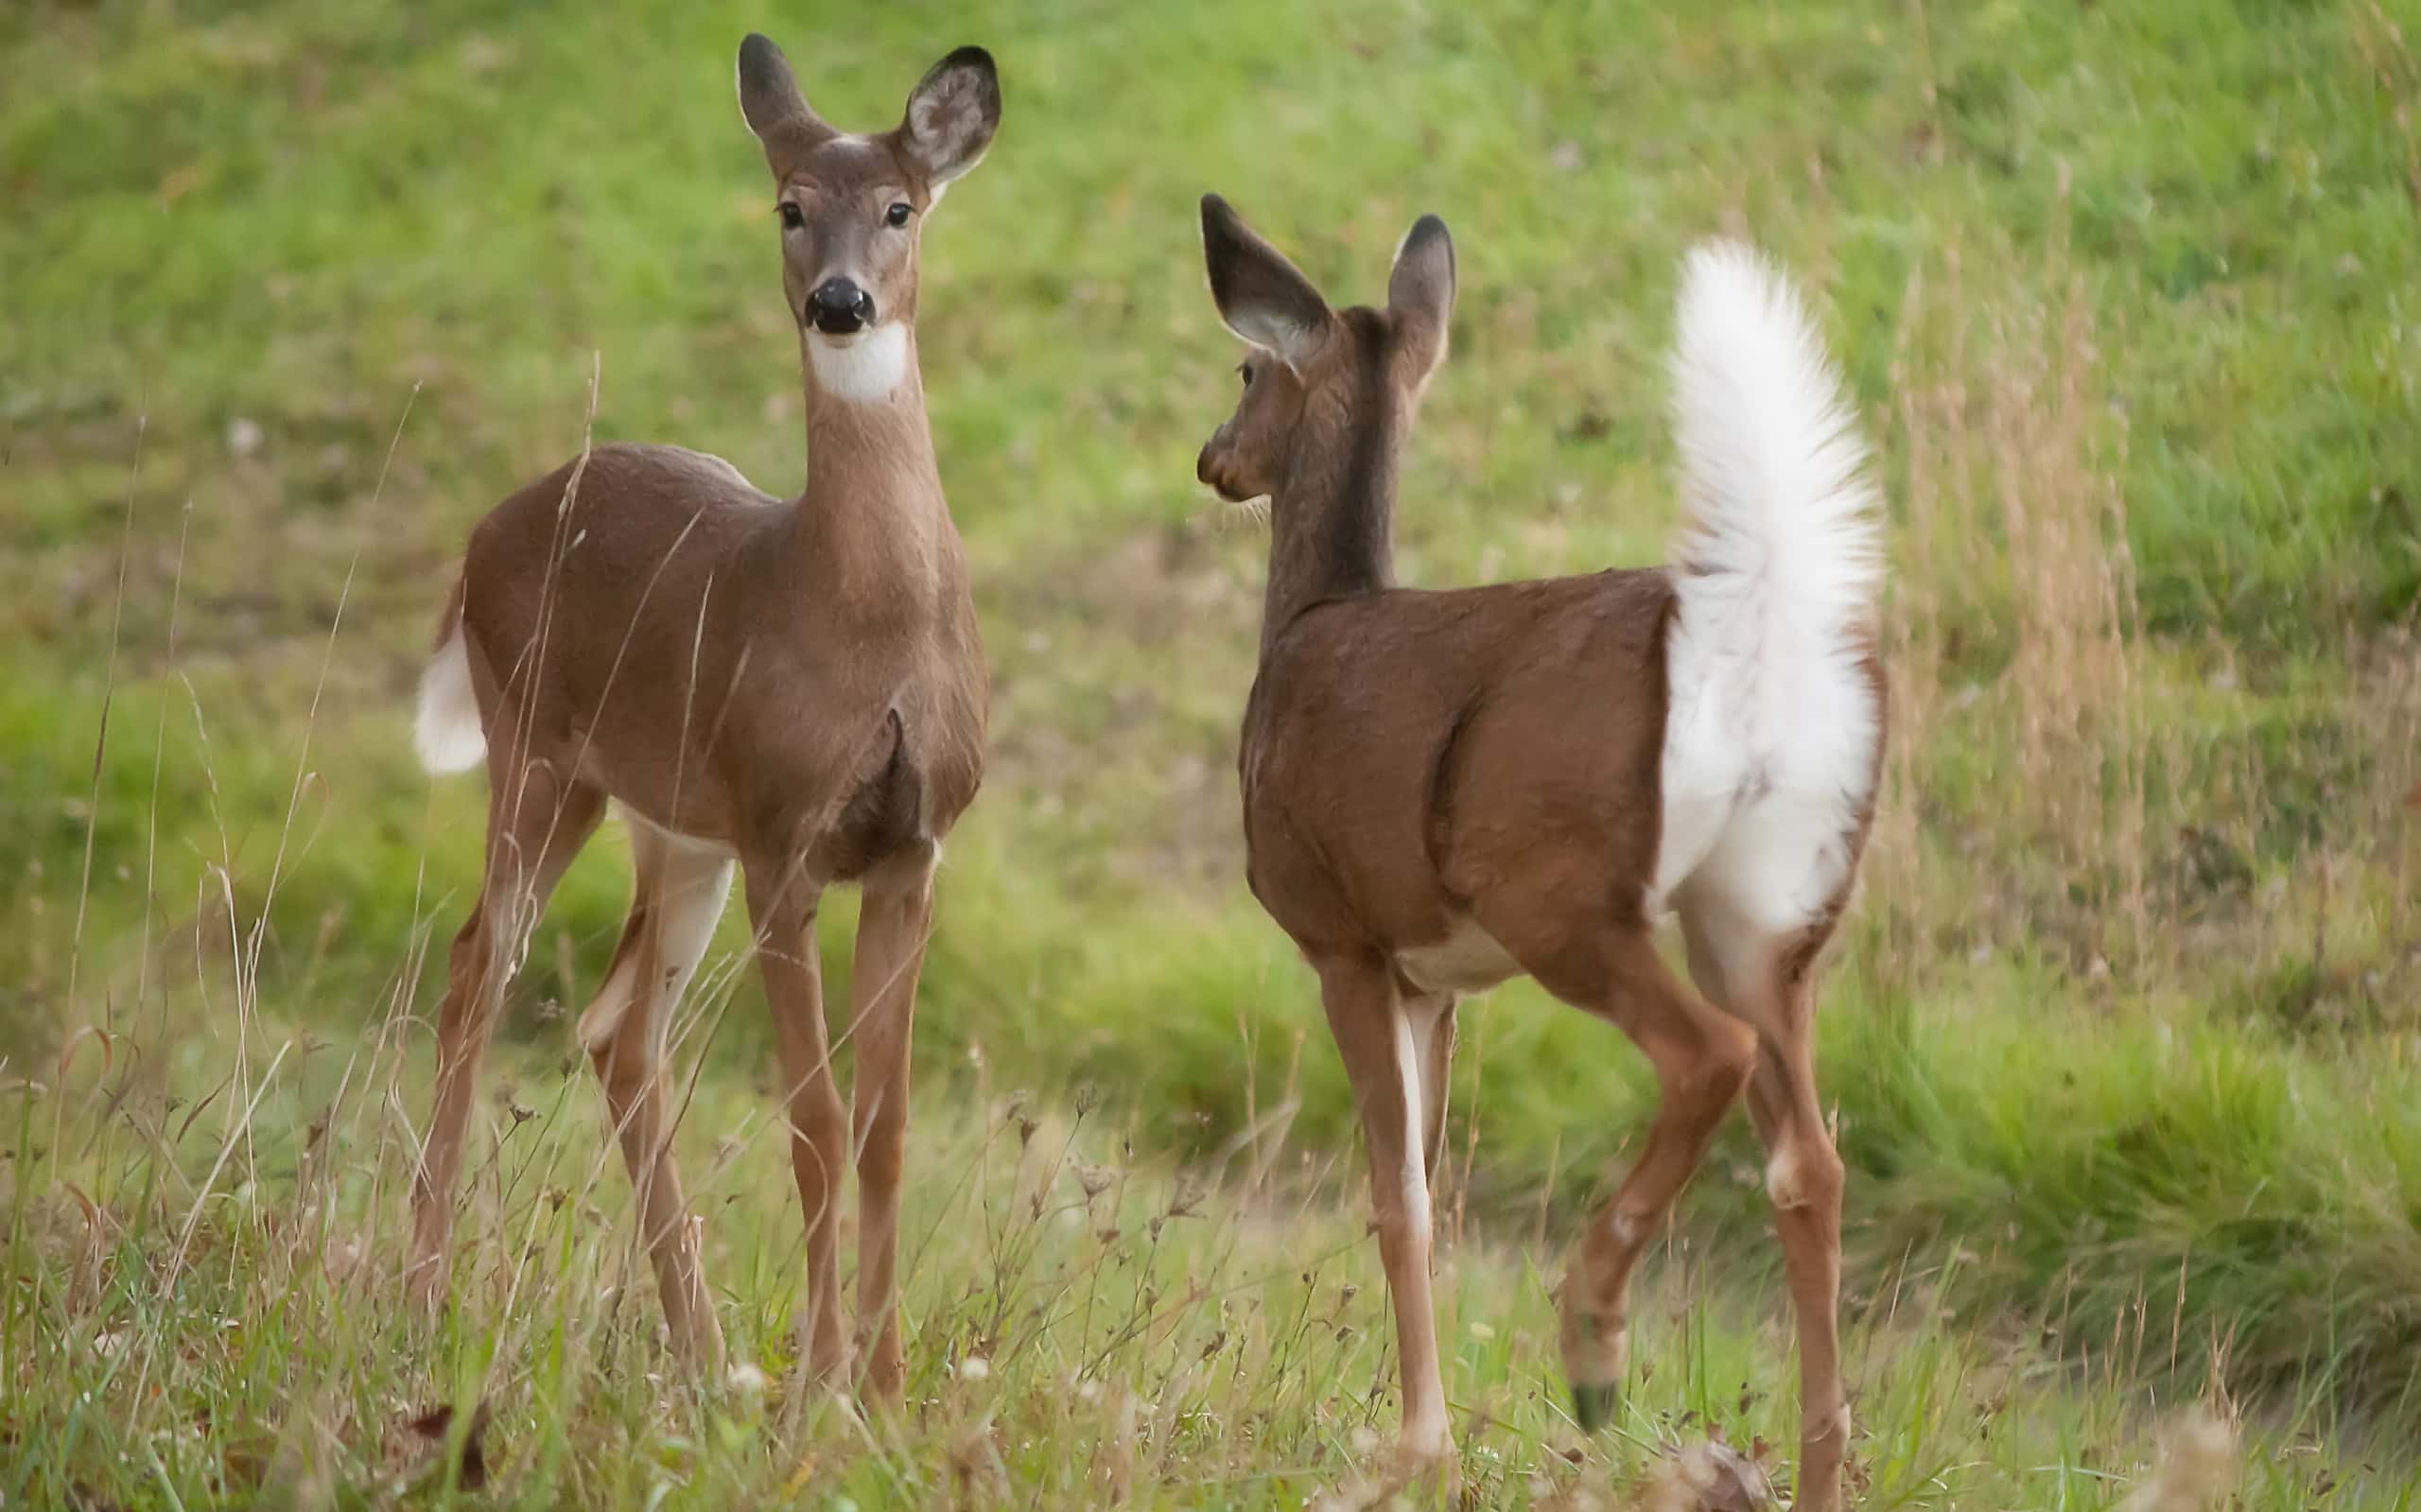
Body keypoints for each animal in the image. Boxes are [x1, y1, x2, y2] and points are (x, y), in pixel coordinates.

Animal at [407, 35, 992, 1393]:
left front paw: (886, 1388)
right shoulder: (784, 833)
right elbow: (814, 1118)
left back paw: (701, 1347)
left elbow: (885, 1124)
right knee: (476, 974)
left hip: (677, 828)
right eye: (789, 206)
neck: (868, 622)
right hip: (541, 753)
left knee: (620, 1029)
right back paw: (423, 1288)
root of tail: (484, 533)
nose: (841, 301)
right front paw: (825, 1389)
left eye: (900, 207)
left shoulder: (912, 846)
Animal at [1200, 191, 1878, 1509]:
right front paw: (1423, 1430)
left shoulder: (1342, 936)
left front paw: (1419, 1447)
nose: (1210, 459)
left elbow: (1400, 1197)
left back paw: (1593, 1341)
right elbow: (1427, 1180)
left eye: (1246, 369)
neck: (1307, 619)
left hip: (1561, 894)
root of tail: (1747, 650)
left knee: (1705, 1058)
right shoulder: (1436, 977)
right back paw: (1811, 1464)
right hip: (1765, 916)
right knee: (1810, 1164)